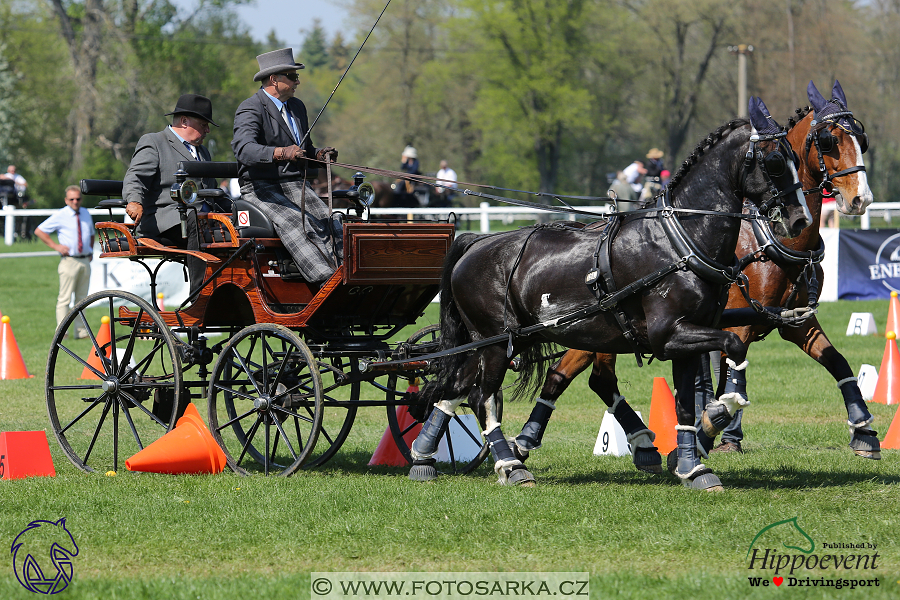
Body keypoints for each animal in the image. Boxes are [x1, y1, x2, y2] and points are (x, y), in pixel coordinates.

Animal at [408, 98, 808, 490]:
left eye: (796, 157)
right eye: (775, 161)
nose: (800, 220)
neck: (679, 240)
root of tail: (475, 242)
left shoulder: (686, 337)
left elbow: (685, 405)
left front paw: (693, 467)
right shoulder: (670, 334)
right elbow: (733, 345)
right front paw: (722, 408)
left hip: (504, 341)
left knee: (455, 387)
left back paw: (424, 456)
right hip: (494, 342)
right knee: (481, 397)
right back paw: (510, 464)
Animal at [512, 78, 880, 474]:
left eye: (862, 138)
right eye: (829, 140)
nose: (860, 199)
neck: (769, 239)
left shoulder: (795, 321)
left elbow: (837, 362)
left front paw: (864, 431)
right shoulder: (737, 325)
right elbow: (733, 379)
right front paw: (706, 438)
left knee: (589, 377)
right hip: (595, 329)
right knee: (574, 375)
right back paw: (528, 442)